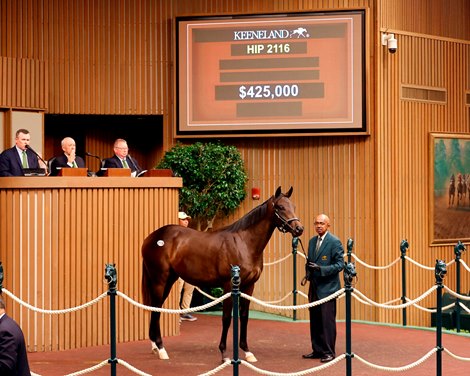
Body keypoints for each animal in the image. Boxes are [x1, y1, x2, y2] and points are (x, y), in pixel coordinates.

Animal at [141, 187, 304, 362]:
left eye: (293, 206)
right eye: (280, 207)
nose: (299, 229)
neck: (244, 243)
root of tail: (151, 237)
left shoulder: (249, 286)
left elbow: (244, 316)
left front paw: (247, 351)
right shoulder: (228, 286)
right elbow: (226, 318)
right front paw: (224, 353)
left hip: (169, 280)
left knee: (155, 308)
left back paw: (155, 346)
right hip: (159, 280)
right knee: (155, 308)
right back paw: (161, 348)